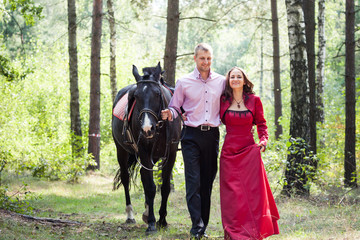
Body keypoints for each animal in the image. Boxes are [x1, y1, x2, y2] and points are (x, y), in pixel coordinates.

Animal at [112, 62, 181, 234]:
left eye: (157, 93)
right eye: (136, 96)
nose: (147, 129)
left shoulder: (170, 154)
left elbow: (164, 187)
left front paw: (162, 220)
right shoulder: (144, 151)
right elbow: (150, 187)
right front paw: (151, 223)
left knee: (144, 176)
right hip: (121, 151)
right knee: (126, 178)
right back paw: (130, 215)